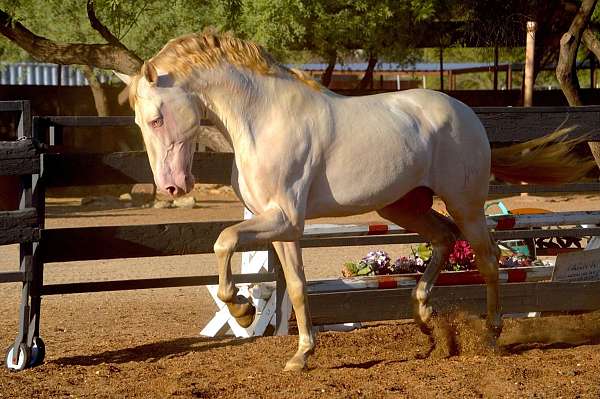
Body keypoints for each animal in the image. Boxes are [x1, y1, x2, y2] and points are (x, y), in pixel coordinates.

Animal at [116, 31, 592, 372]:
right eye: (138, 121)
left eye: (156, 118)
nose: (173, 188)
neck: (263, 119)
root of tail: (466, 113)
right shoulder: (279, 225)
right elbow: (295, 286)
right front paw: (299, 355)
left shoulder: (284, 218)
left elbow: (223, 241)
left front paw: (244, 310)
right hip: (401, 206)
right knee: (443, 239)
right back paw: (424, 315)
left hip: (466, 204)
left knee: (487, 258)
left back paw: (491, 333)